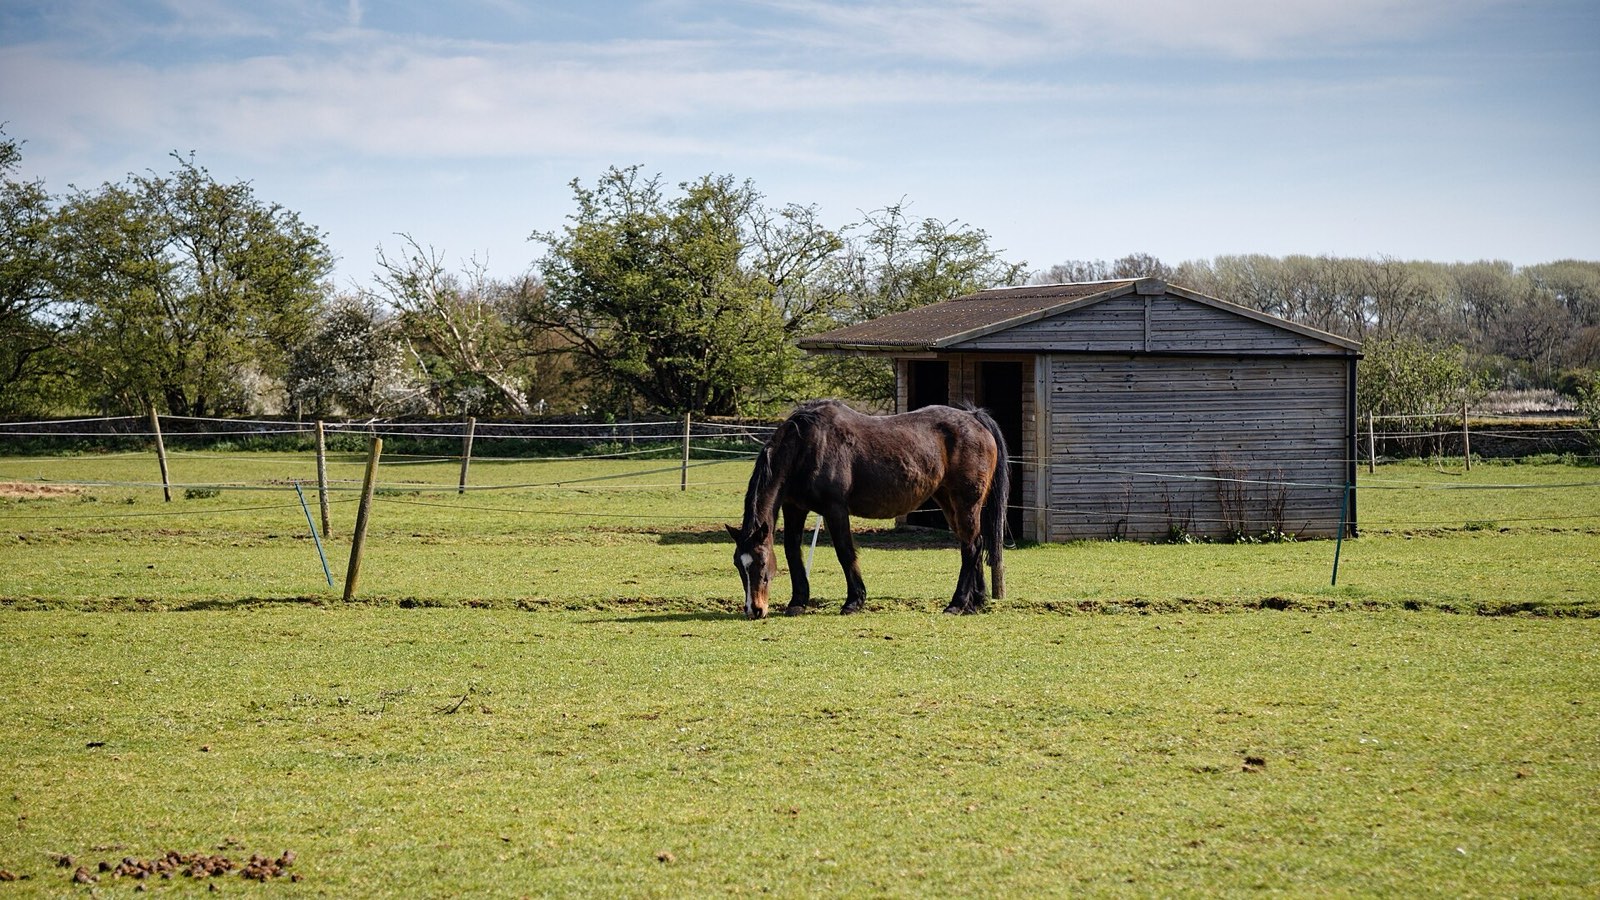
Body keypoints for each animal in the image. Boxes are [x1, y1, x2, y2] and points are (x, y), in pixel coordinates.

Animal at [726, 399, 1009, 619]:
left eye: (762, 563)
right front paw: (798, 602)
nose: (754, 609)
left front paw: (854, 601)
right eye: (739, 565)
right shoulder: (794, 507)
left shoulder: (835, 509)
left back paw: (957, 603)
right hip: (949, 502)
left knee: (970, 547)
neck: (808, 444)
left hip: (965, 503)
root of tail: (974, 418)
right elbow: (792, 551)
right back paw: (975, 602)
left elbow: (845, 552)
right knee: (973, 543)